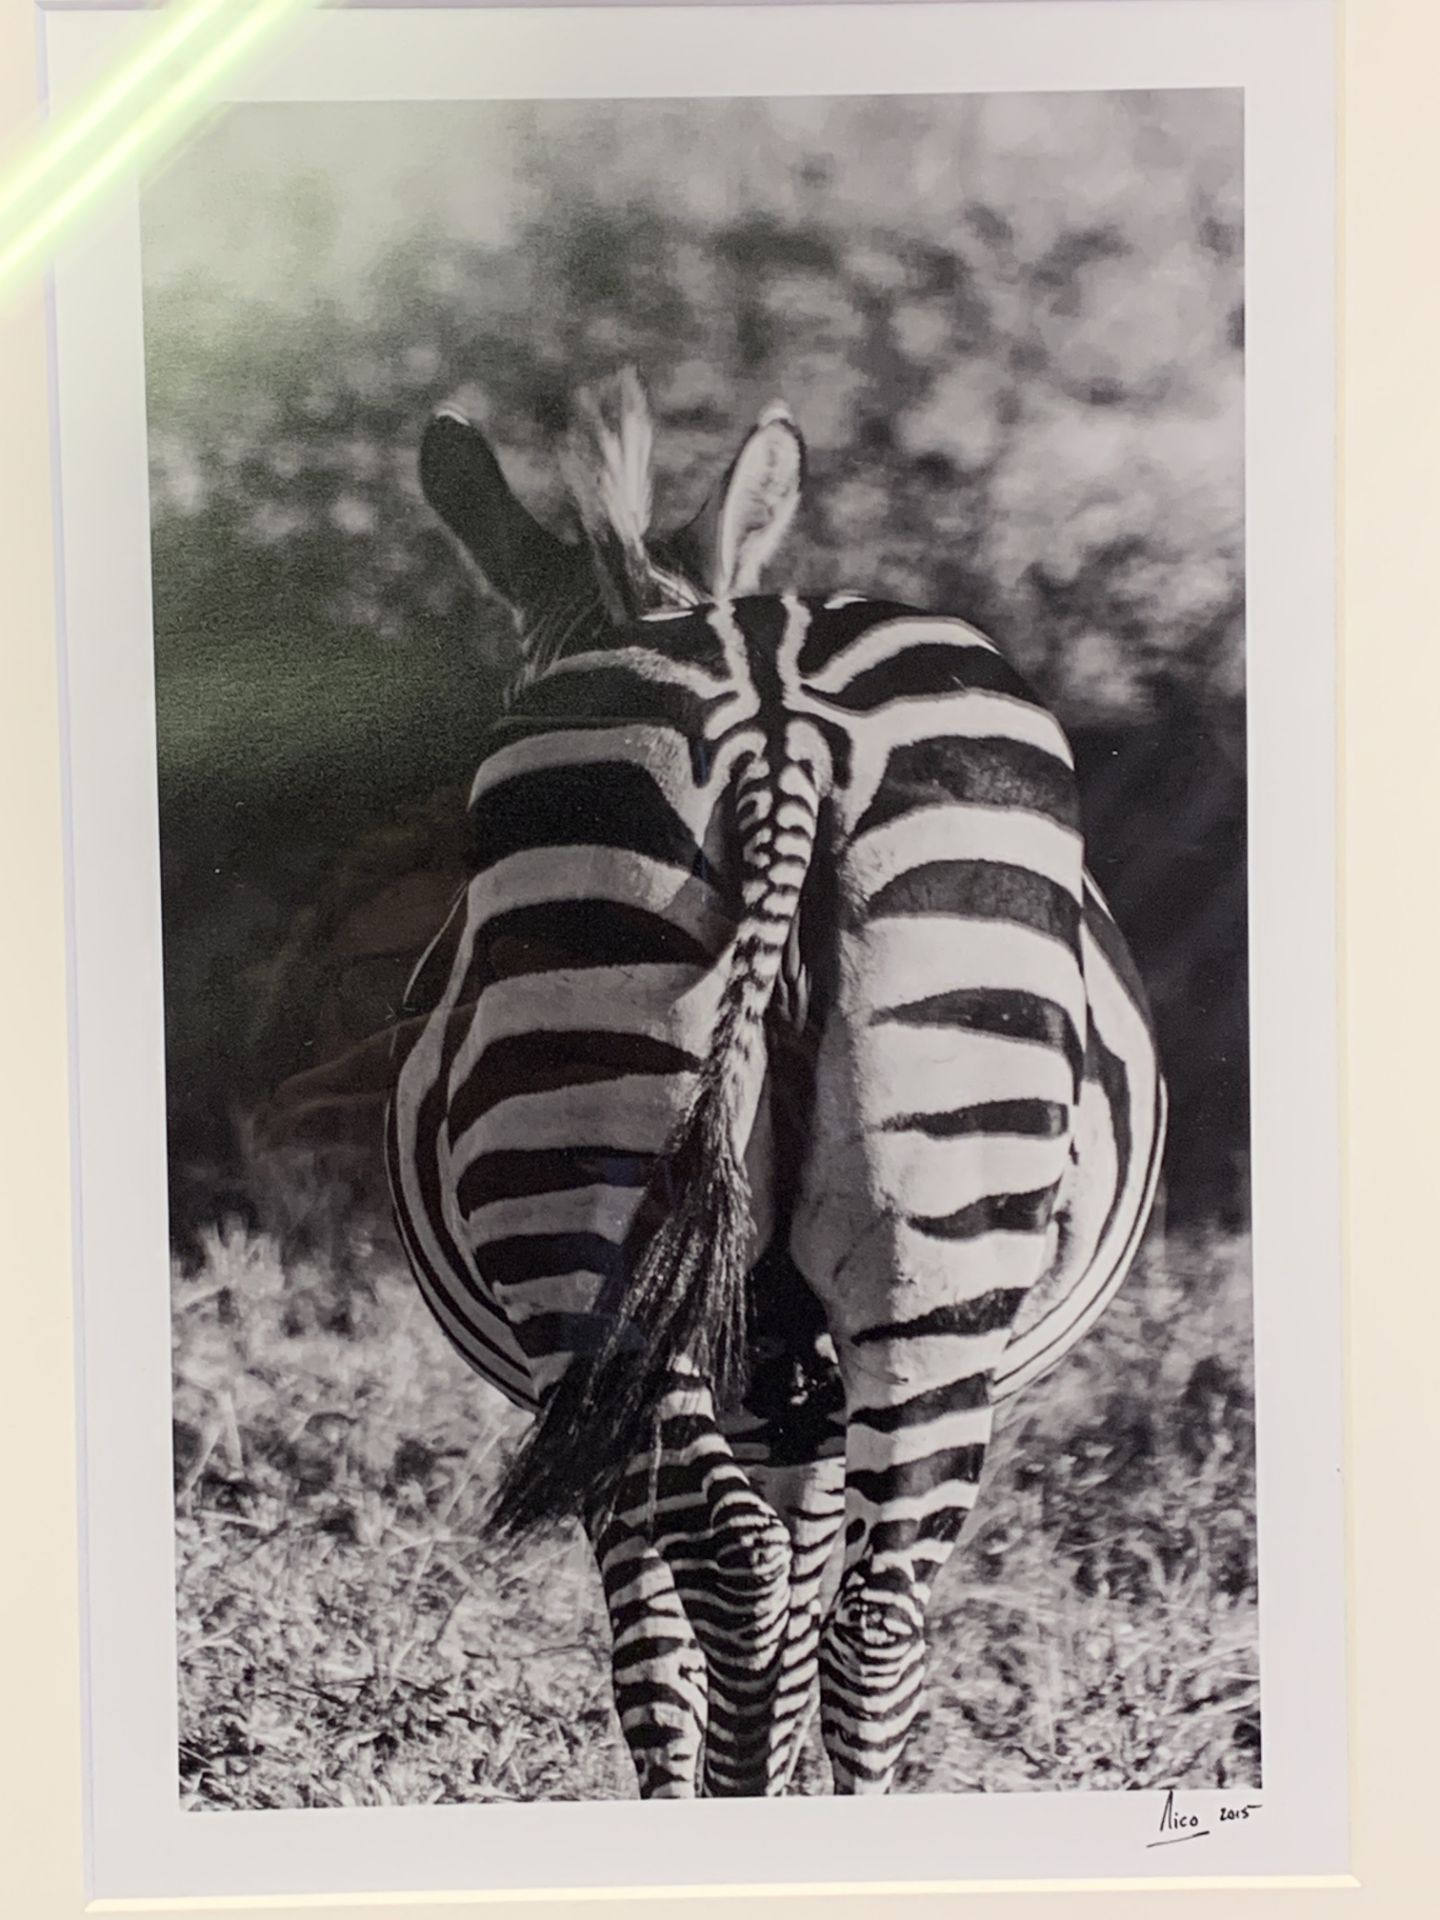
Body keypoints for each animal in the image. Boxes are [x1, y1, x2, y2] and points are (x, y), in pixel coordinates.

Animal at [385, 374, 1175, 1797]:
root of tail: (778, 715)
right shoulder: (796, 1407)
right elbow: (800, 1619)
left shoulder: (620, 1410)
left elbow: (655, 1656)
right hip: (937, 1231)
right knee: (871, 1619)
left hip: (586, 1223)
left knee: (743, 1578)